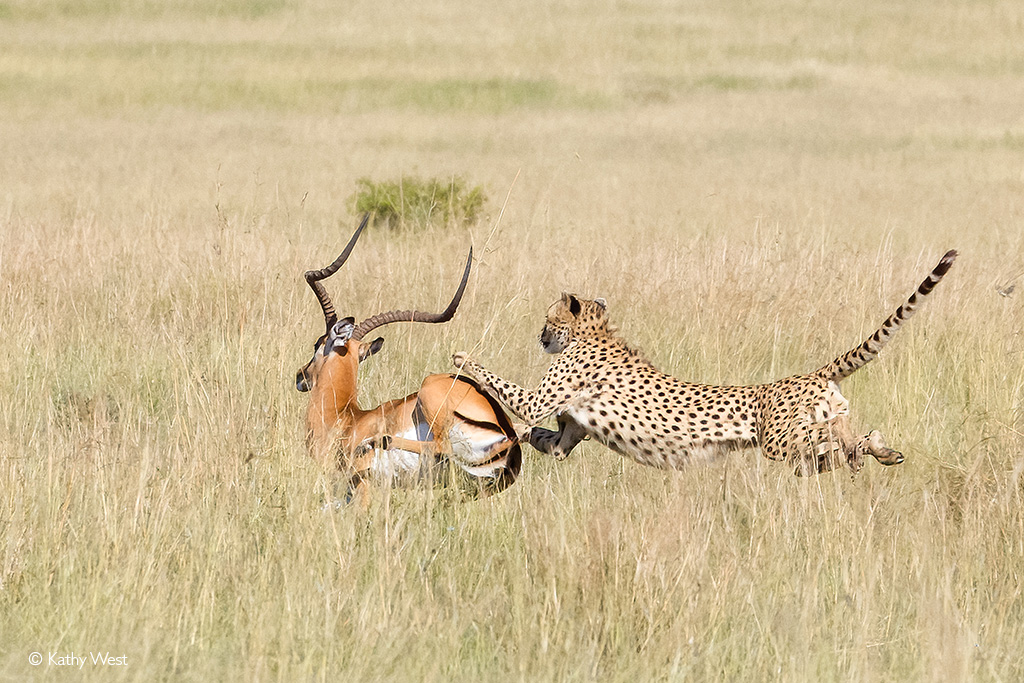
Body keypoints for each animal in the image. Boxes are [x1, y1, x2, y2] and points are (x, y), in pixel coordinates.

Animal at [452, 249, 954, 475]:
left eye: (547, 319)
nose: (540, 337)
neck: (594, 334)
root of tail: (808, 375)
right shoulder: (564, 435)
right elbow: (543, 438)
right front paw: (510, 437)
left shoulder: (542, 399)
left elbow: (506, 389)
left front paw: (461, 355)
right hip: (814, 426)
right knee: (843, 440)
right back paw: (878, 452)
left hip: (779, 441)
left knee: (839, 443)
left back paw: (873, 449)